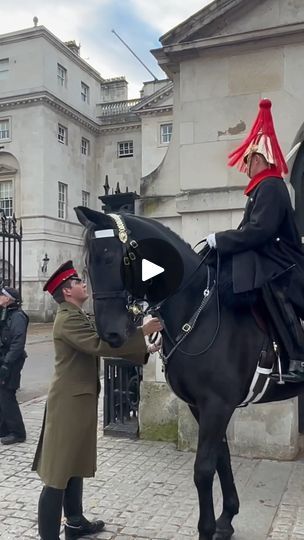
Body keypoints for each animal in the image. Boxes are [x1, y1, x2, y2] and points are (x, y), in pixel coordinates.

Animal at [75, 207, 304, 540]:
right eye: (88, 262)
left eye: (112, 257)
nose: (111, 334)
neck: (200, 311)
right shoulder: (202, 407)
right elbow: (222, 459)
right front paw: (226, 518)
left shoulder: (217, 405)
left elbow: (203, 469)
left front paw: (207, 528)